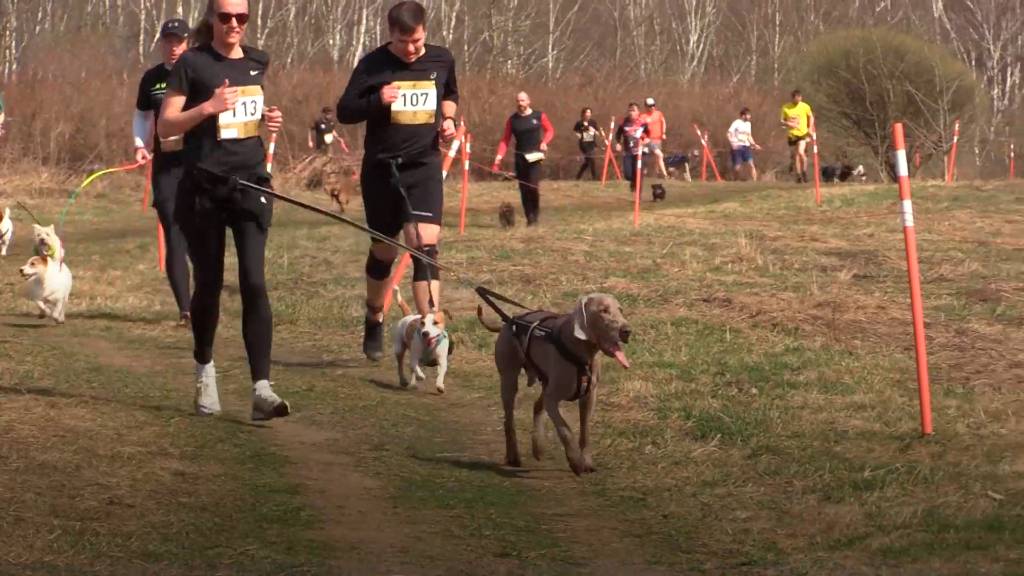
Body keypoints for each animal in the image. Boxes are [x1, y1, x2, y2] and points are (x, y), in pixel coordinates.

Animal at [479, 293, 630, 473]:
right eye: (604, 310)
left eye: (620, 310)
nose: (627, 331)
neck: (582, 354)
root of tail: (509, 321)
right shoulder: (552, 399)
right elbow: (565, 429)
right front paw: (575, 461)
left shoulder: (589, 396)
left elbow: (585, 430)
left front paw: (586, 461)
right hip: (509, 377)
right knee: (509, 419)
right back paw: (513, 456)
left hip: (545, 382)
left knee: (537, 406)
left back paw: (538, 447)